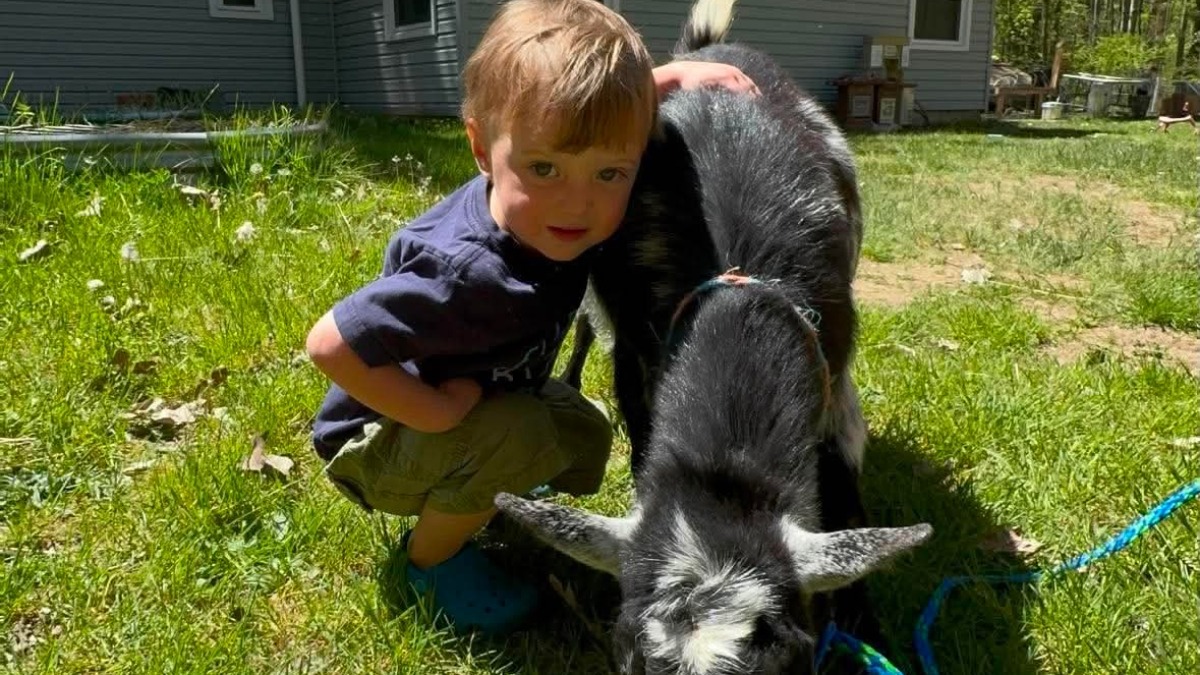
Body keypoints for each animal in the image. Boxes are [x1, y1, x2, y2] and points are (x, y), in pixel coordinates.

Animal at [497, 1, 931, 672]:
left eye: (790, 651)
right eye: (626, 653)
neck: (736, 290)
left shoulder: (833, 378)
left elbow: (844, 496)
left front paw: (868, 630)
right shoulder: (638, 357)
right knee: (584, 330)